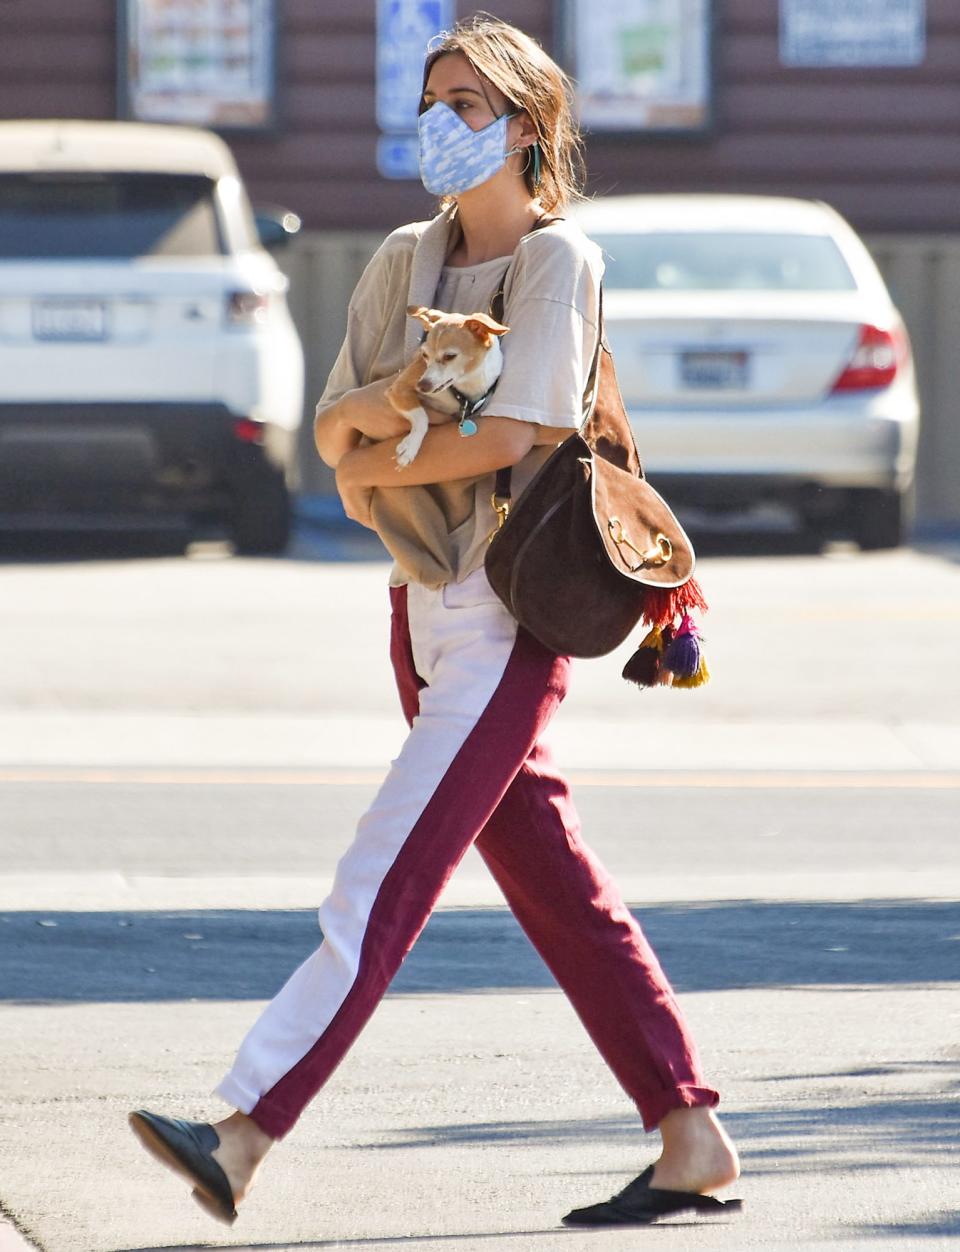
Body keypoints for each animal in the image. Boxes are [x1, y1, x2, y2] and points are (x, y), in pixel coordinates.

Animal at [385, 305, 515, 468]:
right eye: (424, 355)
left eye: (449, 356)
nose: (421, 385)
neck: (467, 383)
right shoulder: (398, 388)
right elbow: (421, 416)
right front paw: (410, 446)